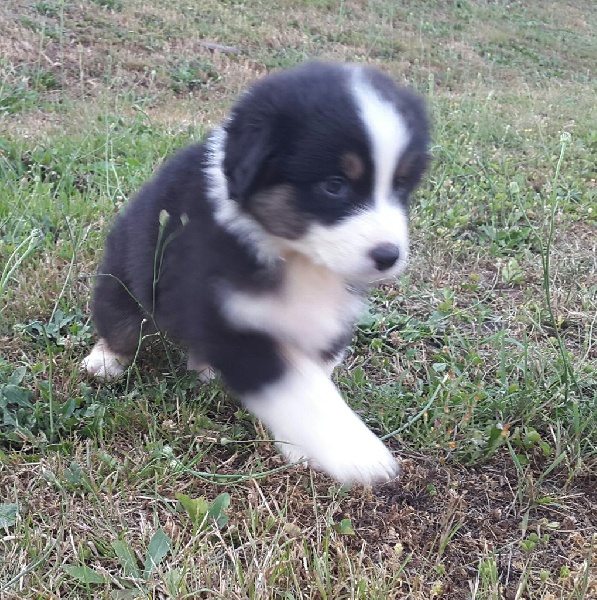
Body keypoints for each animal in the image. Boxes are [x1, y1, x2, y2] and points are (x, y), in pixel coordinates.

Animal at [82, 61, 429, 485]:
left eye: (401, 185)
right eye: (335, 185)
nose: (388, 255)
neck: (295, 254)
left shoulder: (326, 320)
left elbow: (313, 378)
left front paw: (299, 446)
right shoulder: (224, 312)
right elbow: (300, 388)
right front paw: (356, 453)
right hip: (128, 274)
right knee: (119, 319)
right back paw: (105, 360)